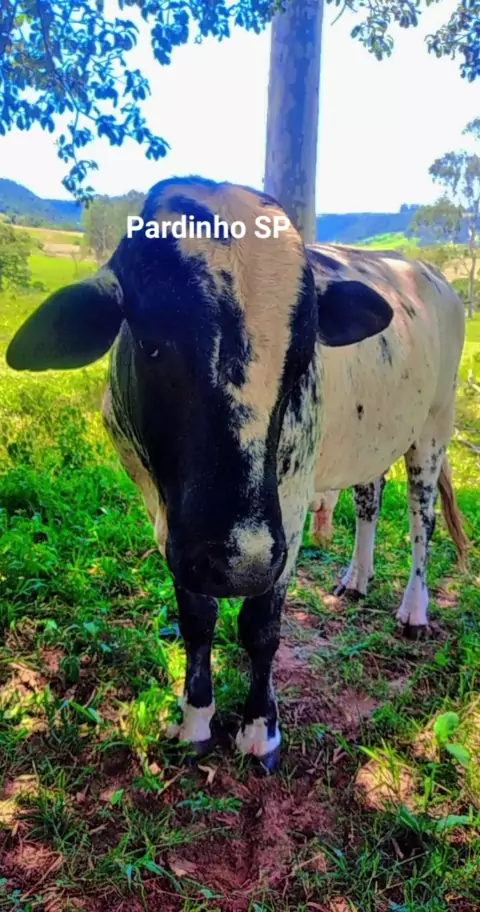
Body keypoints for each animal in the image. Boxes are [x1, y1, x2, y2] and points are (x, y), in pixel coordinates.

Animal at [6, 176, 468, 772]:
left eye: (302, 356)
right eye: (152, 343)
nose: (238, 564)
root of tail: (429, 275)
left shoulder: (285, 514)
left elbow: (261, 625)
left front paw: (260, 729)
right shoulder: (169, 518)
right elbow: (197, 615)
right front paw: (195, 719)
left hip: (433, 428)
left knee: (421, 521)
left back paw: (414, 609)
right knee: (370, 495)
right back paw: (356, 579)